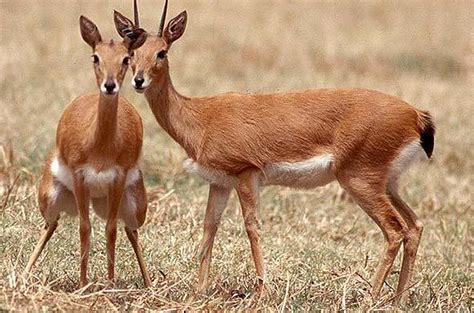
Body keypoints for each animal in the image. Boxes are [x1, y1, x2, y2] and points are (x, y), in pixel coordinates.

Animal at [23, 15, 152, 286]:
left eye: (126, 58)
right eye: (95, 57)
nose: (110, 85)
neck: (100, 146)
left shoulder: (117, 178)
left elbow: (111, 229)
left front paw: (110, 283)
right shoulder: (79, 175)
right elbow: (84, 227)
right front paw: (83, 284)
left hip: (135, 204)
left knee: (131, 230)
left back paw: (148, 283)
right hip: (50, 197)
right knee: (50, 225)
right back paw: (23, 276)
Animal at [113, 1, 436, 302]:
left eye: (162, 52)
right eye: (131, 54)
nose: (138, 80)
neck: (200, 117)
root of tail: (416, 115)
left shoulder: (246, 175)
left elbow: (251, 227)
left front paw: (263, 291)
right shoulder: (220, 183)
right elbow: (209, 228)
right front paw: (198, 290)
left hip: (359, 182)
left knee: (395, 230)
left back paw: (371, 296)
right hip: (388, 183)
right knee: (414, 226)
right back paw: (399, 297)